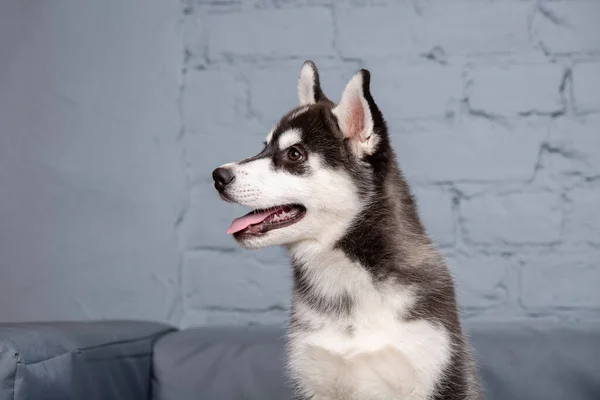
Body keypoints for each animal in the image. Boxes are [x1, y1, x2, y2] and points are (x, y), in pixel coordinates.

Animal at [212, 61, 482, 400]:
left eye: (294, 154)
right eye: (265, 147)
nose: (218, 176)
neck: (349, 282)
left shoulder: (439, 372)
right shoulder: (314, 380)